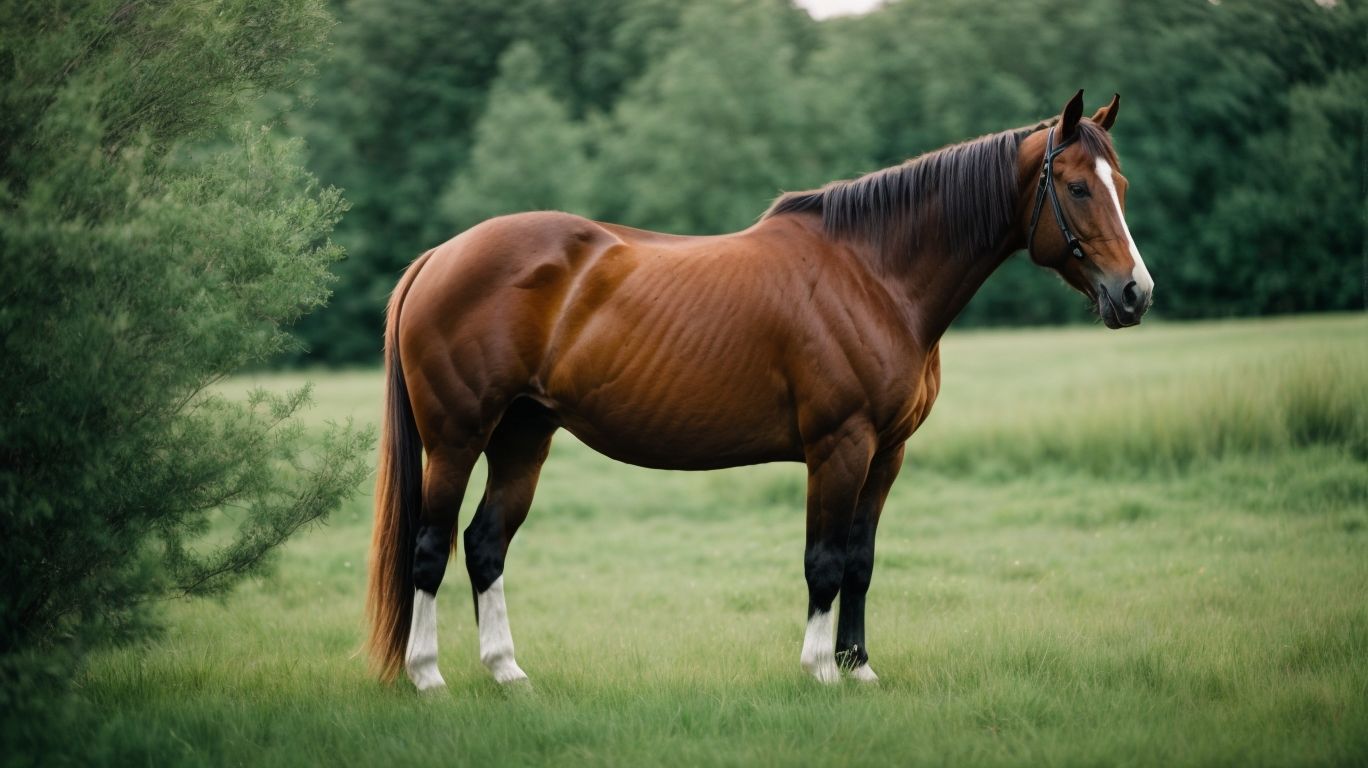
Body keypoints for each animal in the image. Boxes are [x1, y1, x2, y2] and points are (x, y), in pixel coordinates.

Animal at [365, 90, 1154, 690]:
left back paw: (507, 673)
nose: (1136, 293)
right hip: (456, 440)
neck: (873, 275)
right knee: (430, 548)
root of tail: (442, 255)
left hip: (523, 437)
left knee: (485, 544)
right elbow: (823, 560)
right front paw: (821, 670)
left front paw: (860, 668)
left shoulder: (887, 454)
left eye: (1122, 186)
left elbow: (861, 561)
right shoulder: (840, 446)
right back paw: (428, 677)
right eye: (1077, 187)